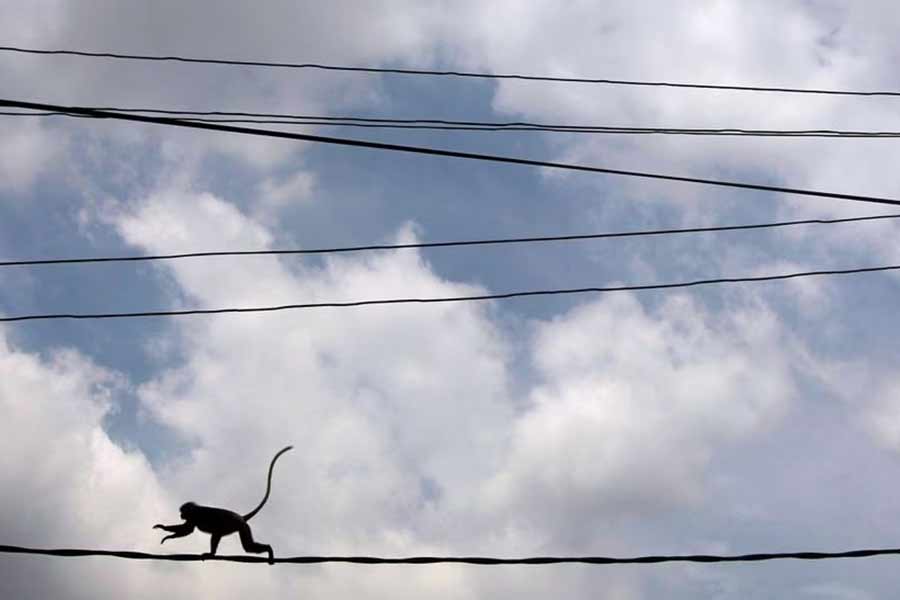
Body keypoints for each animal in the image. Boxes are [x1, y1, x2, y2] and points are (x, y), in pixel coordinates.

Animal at [153, 445, 293, 565]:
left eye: (182, 512)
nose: (181, 516)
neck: (195, 510)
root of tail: (241, 517)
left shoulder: (195, 516)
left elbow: (188, 530)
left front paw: (166, 534)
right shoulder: (192, 518)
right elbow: (187, 529)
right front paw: (164, 528)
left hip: (237, 525)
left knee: (220, 534)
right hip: (242, 527)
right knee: (247, 546)